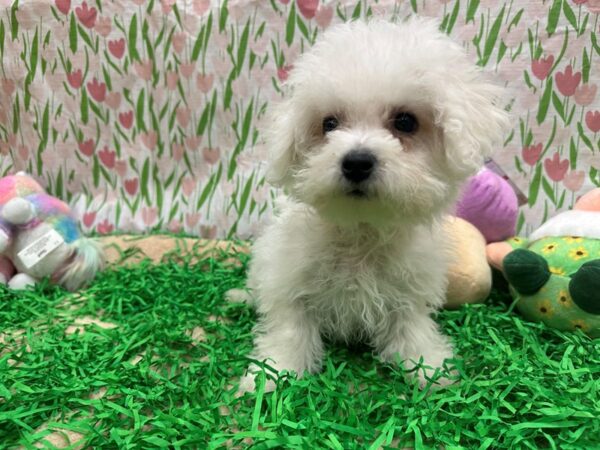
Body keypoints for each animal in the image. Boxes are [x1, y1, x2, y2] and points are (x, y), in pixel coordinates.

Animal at [233, 17, 506, 390]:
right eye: (329, 123)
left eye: (405, 121)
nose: (356, 162)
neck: (360, 230)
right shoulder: (288, 279)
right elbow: (290, 328)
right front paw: (271, 374)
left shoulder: (409, 289)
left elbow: (411, 327)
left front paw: (430, 367)